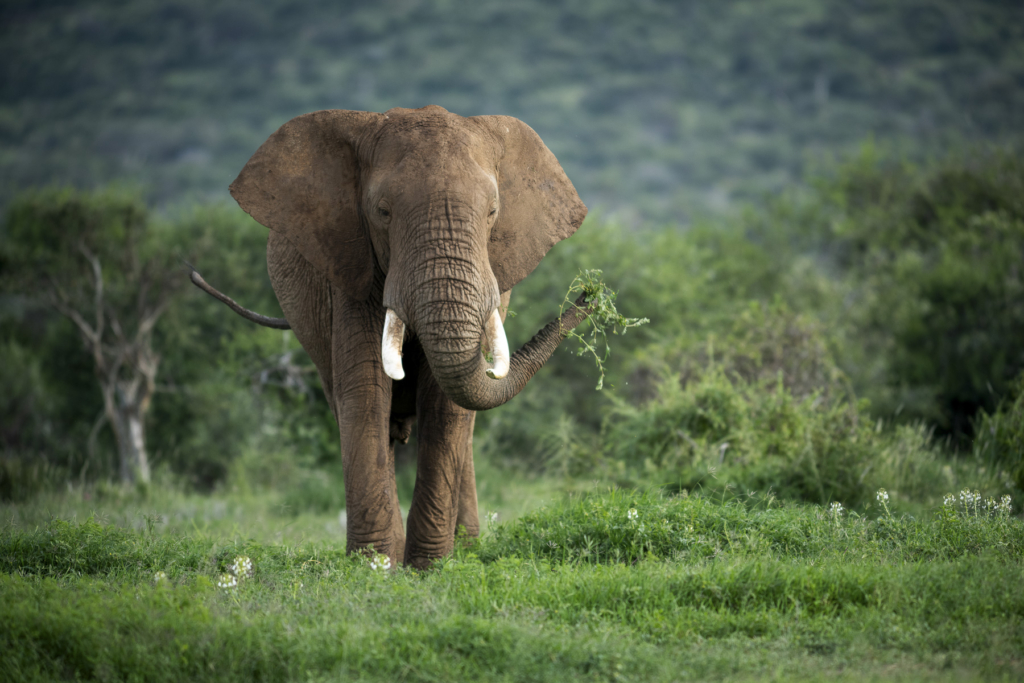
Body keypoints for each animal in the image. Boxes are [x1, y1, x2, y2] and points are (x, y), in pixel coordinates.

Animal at [192, 104, 593, 569]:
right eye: (382, 212)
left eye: (493, 212)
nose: (589, 294)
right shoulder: (350, 266)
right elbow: (366, 390)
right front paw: (374, 568)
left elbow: (445, 406)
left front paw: (429, 568)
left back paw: (467, 549)